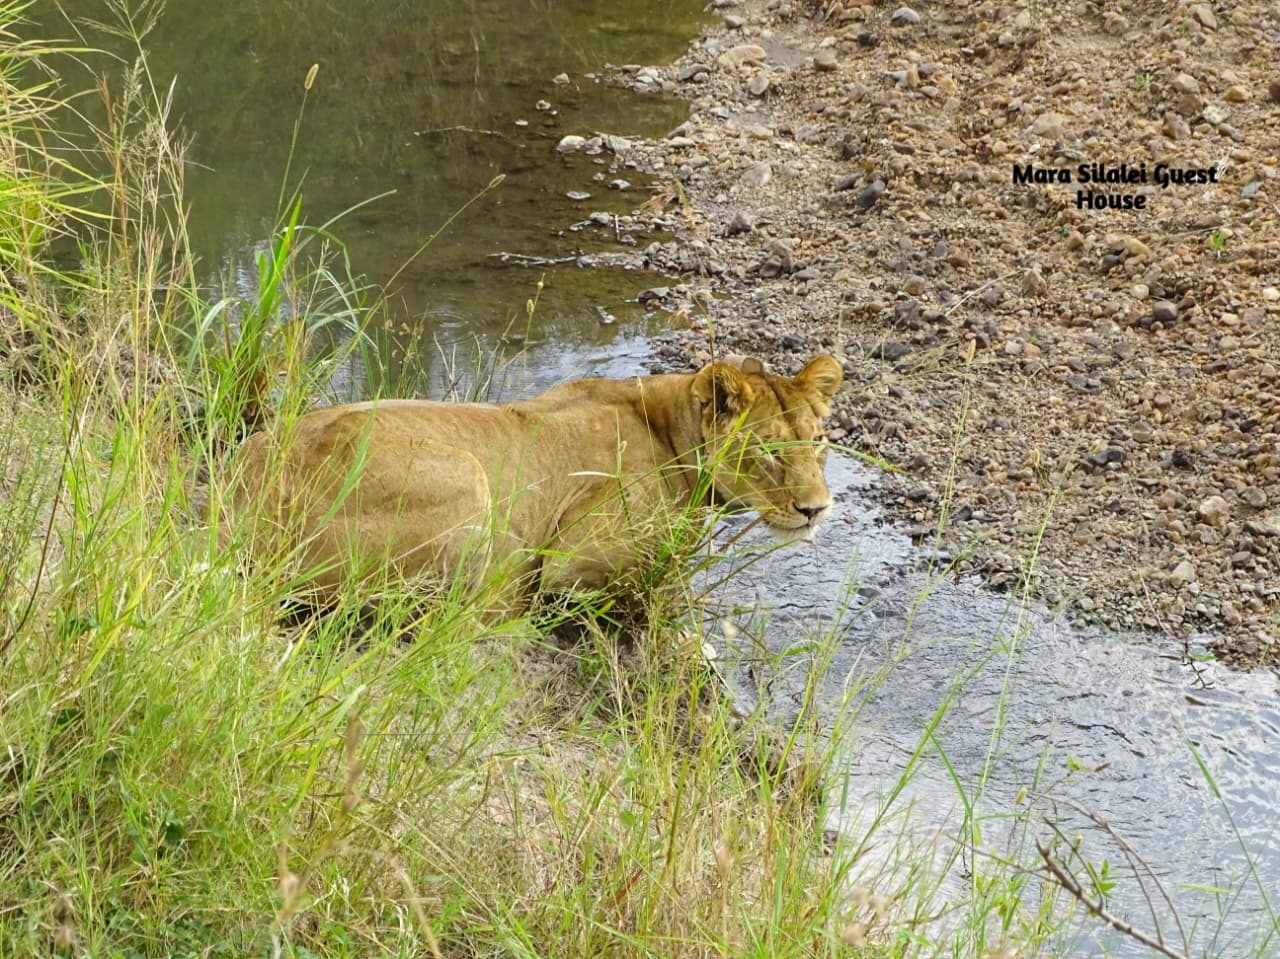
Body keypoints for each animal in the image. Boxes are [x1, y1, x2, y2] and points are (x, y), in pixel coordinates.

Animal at [228, 354, 843, 604]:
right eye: (768, 450)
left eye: (817, 441)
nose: (815, 509)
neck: (671, 430)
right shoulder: (572, 559)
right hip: (470, 478)